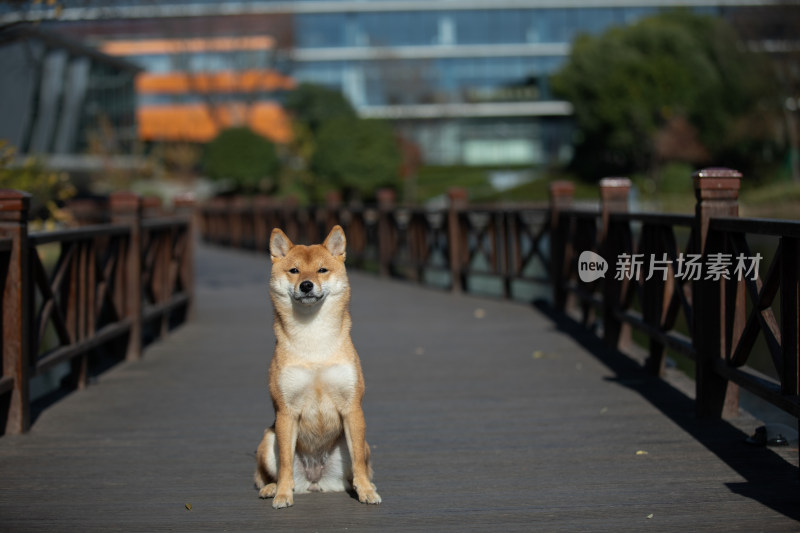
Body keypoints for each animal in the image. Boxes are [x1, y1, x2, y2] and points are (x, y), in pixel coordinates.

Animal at [255, 223, 382, 508]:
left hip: (361, 445)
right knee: (269, 473)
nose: (306, 284)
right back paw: (272, 488)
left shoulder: (352, 407)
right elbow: (285, 464)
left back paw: (362, 486)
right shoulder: (286, 411)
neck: (314, 341)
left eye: (322, 270)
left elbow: (358, 463)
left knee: (357, 467)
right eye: (294, 270)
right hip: (268, 439)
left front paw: (366, 491)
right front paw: (282, 494)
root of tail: (315, 480)